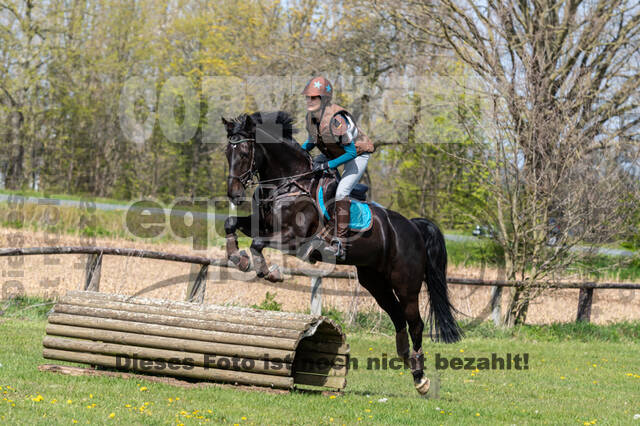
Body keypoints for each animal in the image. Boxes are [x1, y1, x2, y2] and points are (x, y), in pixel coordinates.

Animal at [220, 110, 460, 396]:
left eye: (245, 152)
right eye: (227, 152)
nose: (234, 195)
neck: (288, 183)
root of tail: (412, 226)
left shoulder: (293, 239)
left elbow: (257, 243)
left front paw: (269, 272)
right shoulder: (262, 226)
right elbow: (230, 224)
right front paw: (238, 258)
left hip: (406, 284)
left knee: (415, 323)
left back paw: (421, 378)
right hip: (375, 281)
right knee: (397, 316)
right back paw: (406, 359)